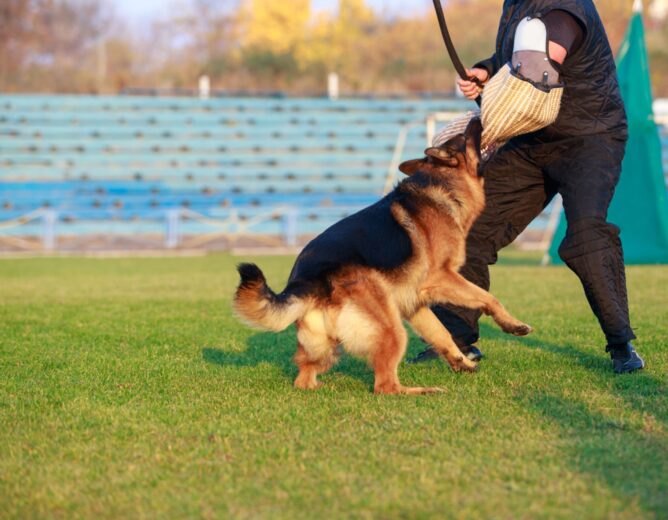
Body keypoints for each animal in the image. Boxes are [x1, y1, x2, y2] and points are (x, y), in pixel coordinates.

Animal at [232, 119, 528, 394]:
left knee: (304, 377)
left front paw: (460, 362)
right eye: (465, 137)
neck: (441, 186)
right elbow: (487, 297)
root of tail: (304, 280)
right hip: (391, 328)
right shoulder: (442, 278)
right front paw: (513, 325)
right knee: (385, 386)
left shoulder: (415, 303)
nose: (477, 118)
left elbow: (441, 333)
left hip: (325, 345)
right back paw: (423, 391)